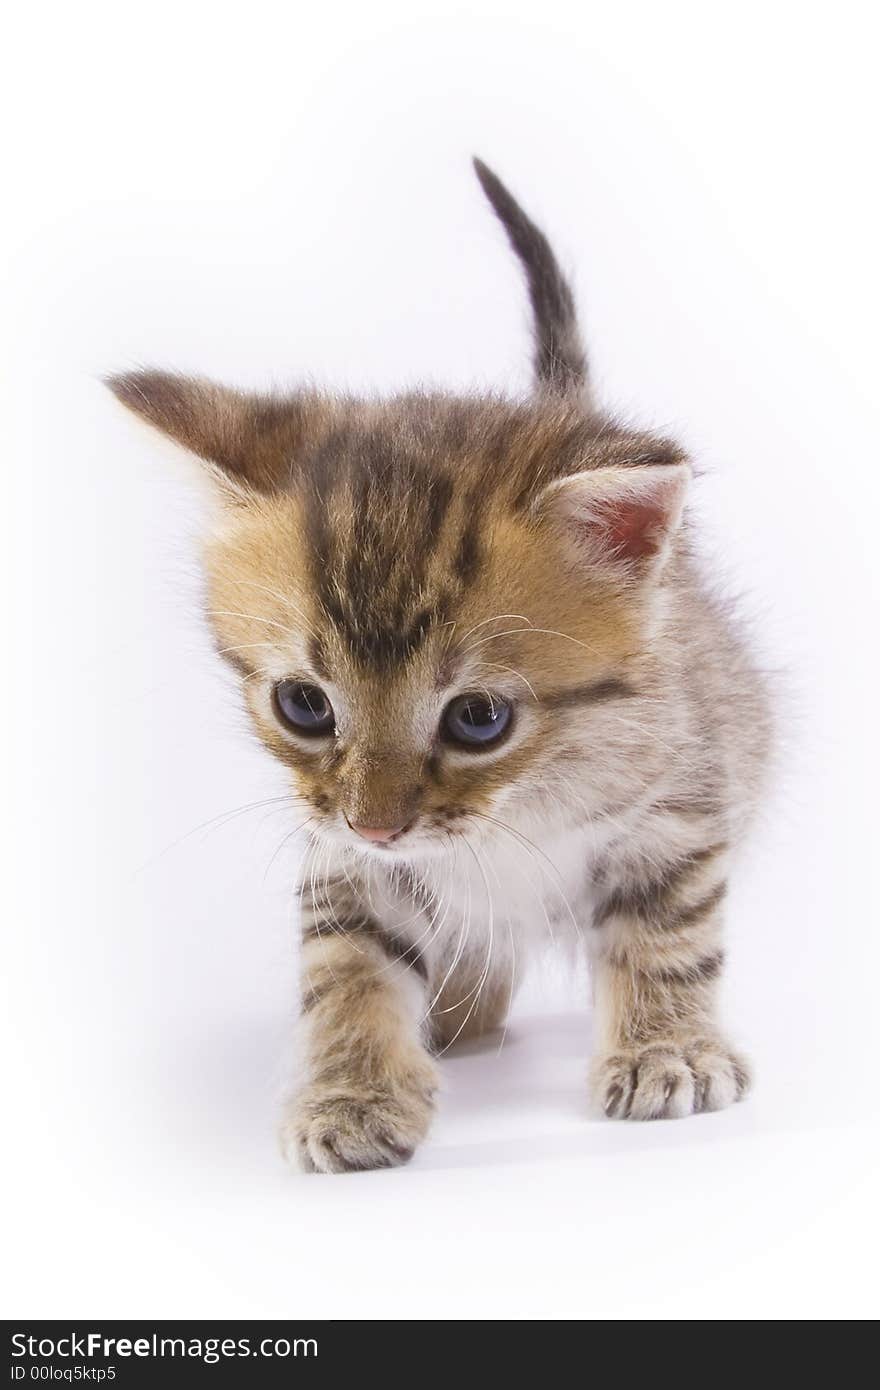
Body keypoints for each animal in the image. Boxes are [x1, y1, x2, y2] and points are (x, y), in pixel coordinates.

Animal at [108, 157, 767, 1173]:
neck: (519, 806)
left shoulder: (681, 799)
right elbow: (349, 967)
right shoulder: (343, 858)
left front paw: (667, 1049)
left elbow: (667, 929)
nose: (380, 825)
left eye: (478, 719)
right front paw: (352, 1091)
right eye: (304, 705)